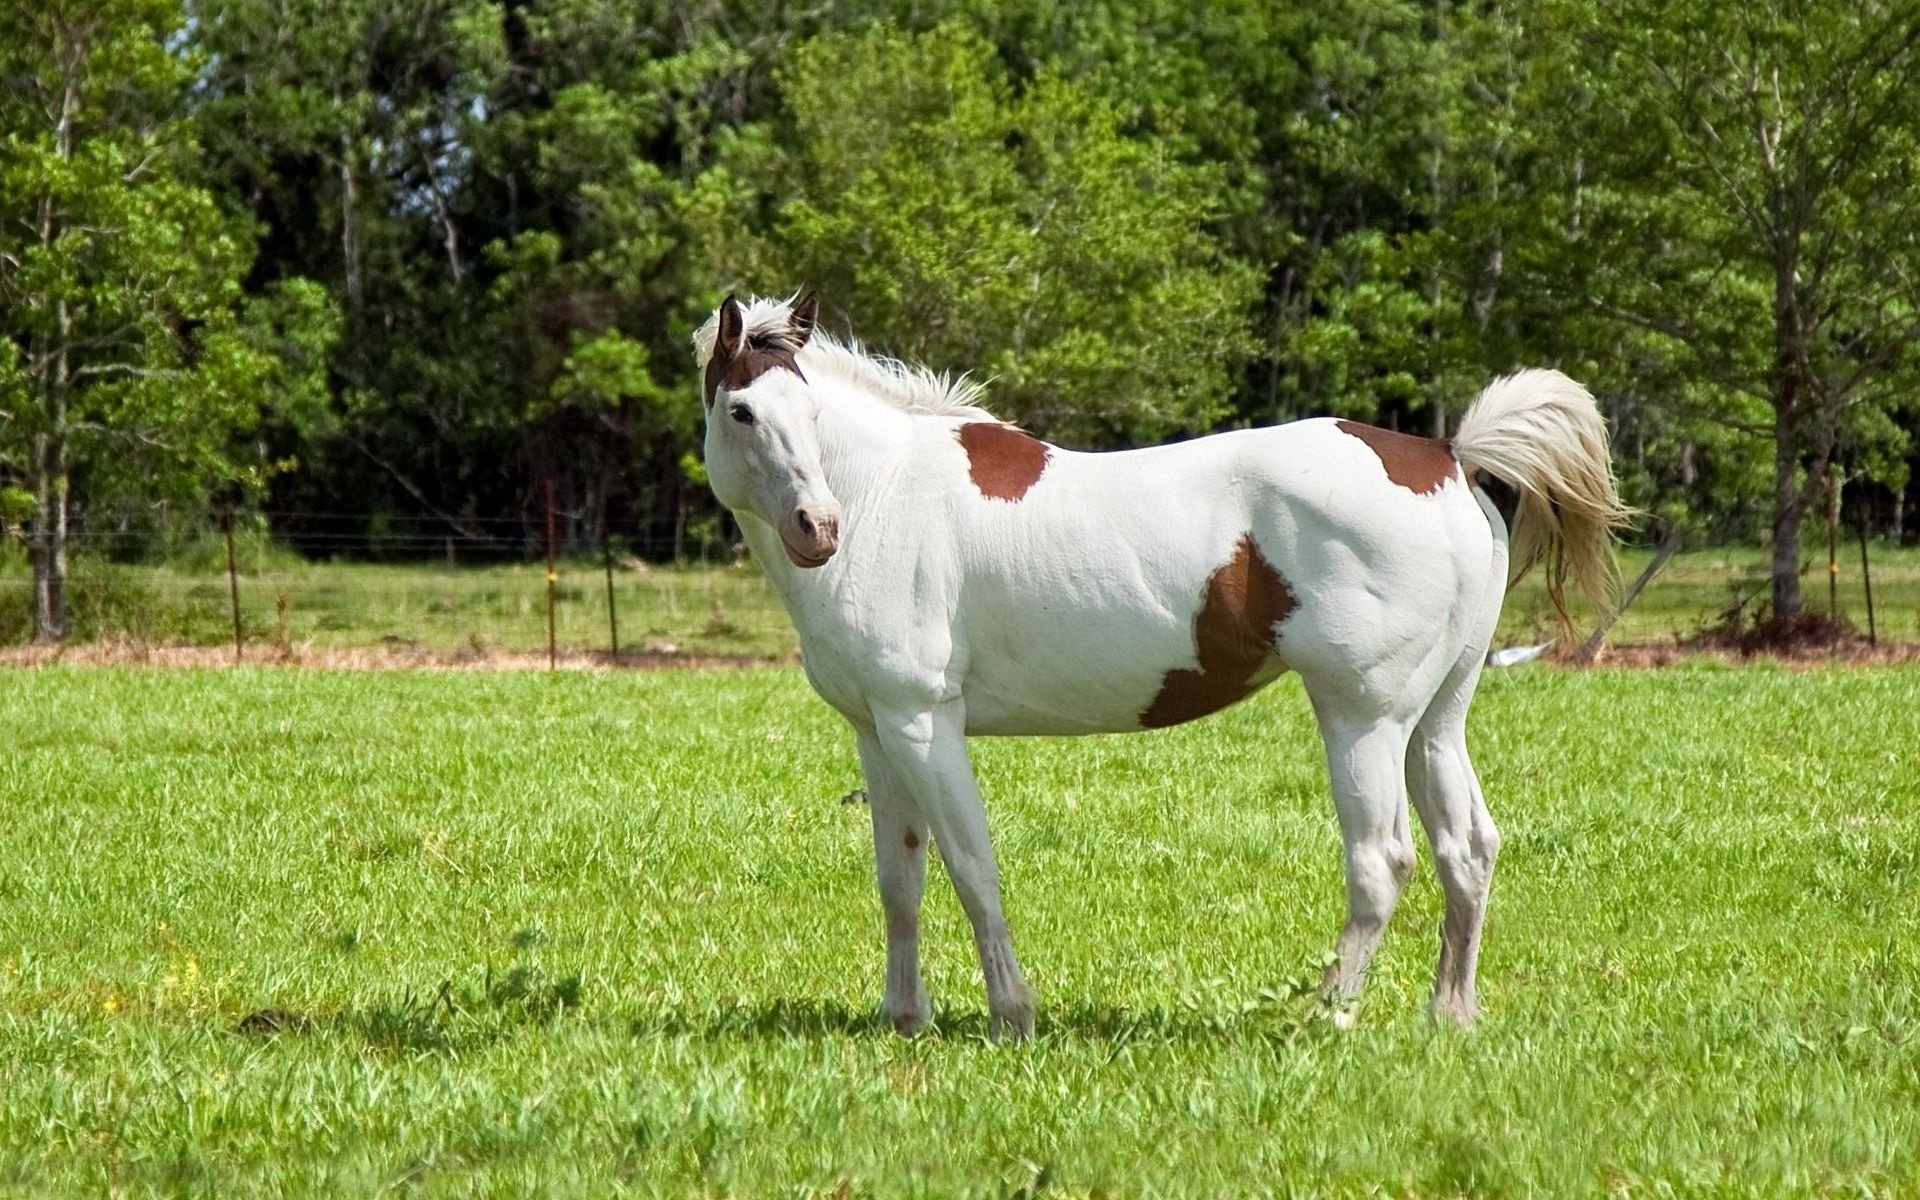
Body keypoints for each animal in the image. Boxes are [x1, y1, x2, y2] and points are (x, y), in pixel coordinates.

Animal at [693, 291, 1629, 1039]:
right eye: (743, 411)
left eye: (810, 415)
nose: (818, 528)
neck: (888, 493)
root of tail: (1446, 457)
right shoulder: (877, 730)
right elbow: (901, 879)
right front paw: (903, 1018)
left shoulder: (925, 724)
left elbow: (971, 868)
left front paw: (1011, 1016)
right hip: (1435, 720)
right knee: (1466, 849)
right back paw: (1450, 1015)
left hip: (1363, 717)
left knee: (1382, 861)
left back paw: (1323, 1014)